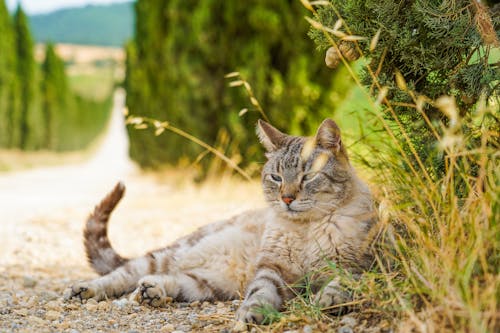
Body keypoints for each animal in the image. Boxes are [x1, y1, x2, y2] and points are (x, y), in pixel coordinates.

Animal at [67, 118, 378, 322]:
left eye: (308, 176)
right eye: (276, 177)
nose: (287, 198)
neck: (306, 231)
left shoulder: (362, 266)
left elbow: (345, 283)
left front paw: (330, 299)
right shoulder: (272, 271)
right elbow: (259, 294)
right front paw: (250, 314)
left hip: (207, 285)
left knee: (172, 280)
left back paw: (151, 292)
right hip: (171, 255)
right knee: (123, 274)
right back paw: (86, 291)